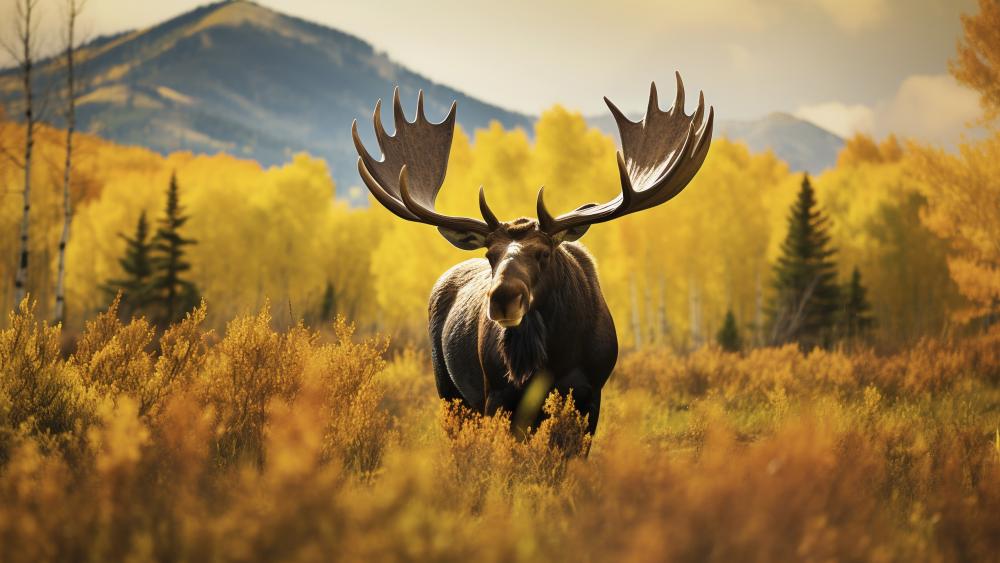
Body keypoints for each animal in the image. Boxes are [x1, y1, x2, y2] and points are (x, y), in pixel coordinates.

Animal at [352, 73, 713, 434]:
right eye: (491, 255)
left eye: (543, 253)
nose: (503, 297)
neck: (554, 358)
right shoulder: (497, 395)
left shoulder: (591, 394)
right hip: (448, 391)